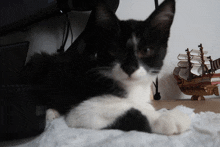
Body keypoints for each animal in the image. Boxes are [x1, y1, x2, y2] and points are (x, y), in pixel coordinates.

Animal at [21, 0, 191, 136]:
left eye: (146, 51)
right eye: (115, 50)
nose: (130, 67)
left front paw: (158, 110)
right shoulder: (81, 111)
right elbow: (125, 110)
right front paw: (166, 117)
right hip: (37, 63)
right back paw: (50, 111)